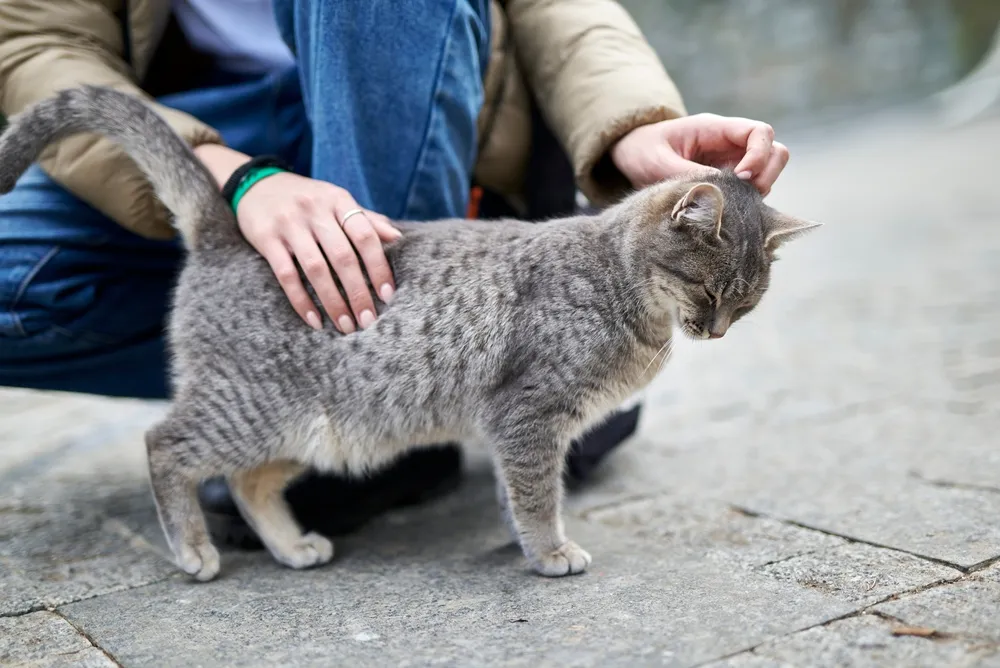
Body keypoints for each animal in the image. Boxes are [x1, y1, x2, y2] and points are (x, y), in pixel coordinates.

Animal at [0, 87, 820, 580]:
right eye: (707, 291)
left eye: (746, 305)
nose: (717, 332)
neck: (615, 282)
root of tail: (224, 230)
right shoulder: (528, 416)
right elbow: (535, 494)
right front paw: (549, 550)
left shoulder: (522, 427)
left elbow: (520, 492)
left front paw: (525, 541)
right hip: (247, 410)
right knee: (165, 445)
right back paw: (196, 550)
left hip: (307, 431)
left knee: (247, 480)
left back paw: (292, 545)